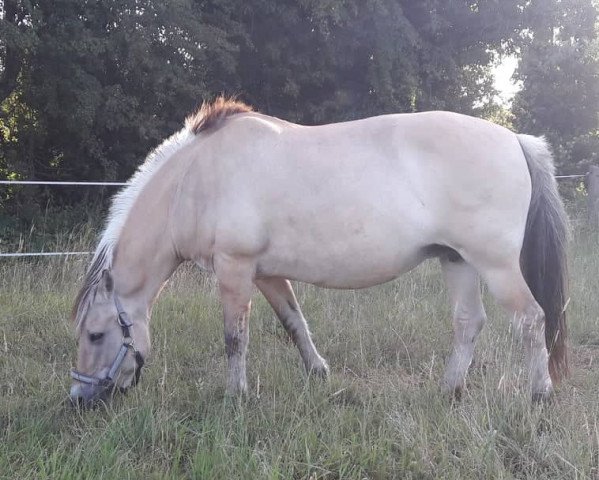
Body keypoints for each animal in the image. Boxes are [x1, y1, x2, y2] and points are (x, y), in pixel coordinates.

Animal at [68, 97, 568, 408]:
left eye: (95, 335)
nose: (78, 400)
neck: (193, 181)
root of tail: (516, 139)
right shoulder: (266, 273)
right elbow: (295, 323)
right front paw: (318, 373)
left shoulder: (234, 268)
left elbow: (234, 338)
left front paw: (235, 397)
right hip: (456, 259)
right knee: (469, 323)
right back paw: (449, 390)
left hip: (495, 265)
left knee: (531, 319)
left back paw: (540, 396)